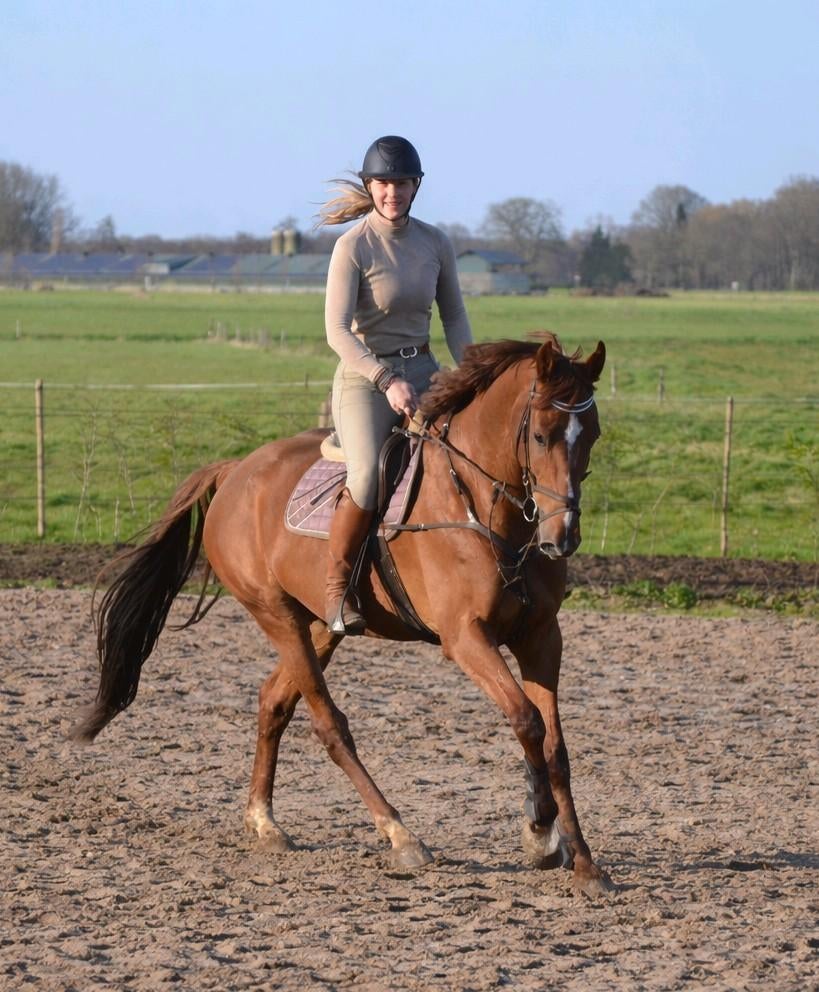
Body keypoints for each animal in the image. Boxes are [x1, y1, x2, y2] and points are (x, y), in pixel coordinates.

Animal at [71, 334, 612, 897]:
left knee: (274, 701)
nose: (563, 537)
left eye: (592, 434)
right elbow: (526, 720)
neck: (483, 508)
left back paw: (264, 821)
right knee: (329, 724)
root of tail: (235, 470)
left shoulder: (541, 637)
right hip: (277, 616)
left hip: (319, 626)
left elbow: (555, 746)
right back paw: (400, 835)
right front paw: (540, 830)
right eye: (541, 435)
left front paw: (583, 861)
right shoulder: (466, 638)